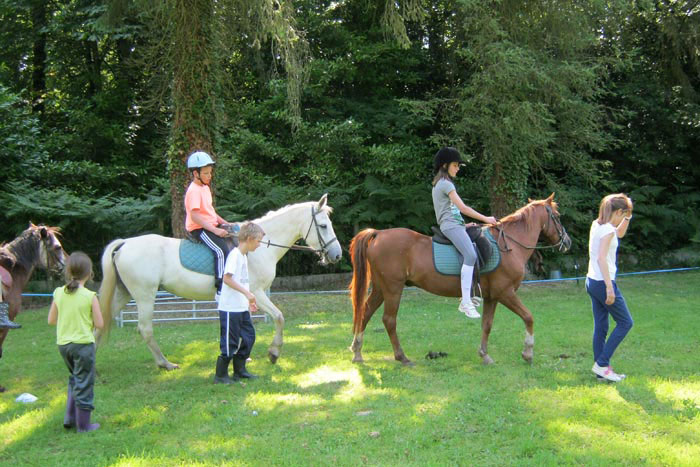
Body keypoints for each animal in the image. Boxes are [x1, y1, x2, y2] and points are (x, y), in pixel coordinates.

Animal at [96, 194, 342, 370]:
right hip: (144, 295)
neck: (258, 246)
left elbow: (245, 325)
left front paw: (244, 356)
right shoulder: (257, 292)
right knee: (145, 329)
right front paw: (273, 353)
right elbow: (279, 317)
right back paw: (165, 363)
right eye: (323, 226)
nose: (337, 254)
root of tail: (124, 243)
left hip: (124, 293)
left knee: (102, 322)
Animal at [348, 194, 572, 366]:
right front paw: (527, 353)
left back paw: (357, 352)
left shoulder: (492, 297)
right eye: (557, 217)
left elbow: (487, 325)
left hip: (381, 288)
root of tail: (378, 234)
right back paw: (401, 357)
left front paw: (484, 355)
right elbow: (528, 317)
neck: (509, 245)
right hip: (393, 289)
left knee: (365, 312)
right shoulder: (506, 293)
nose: (567, 242)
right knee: (389, 320)